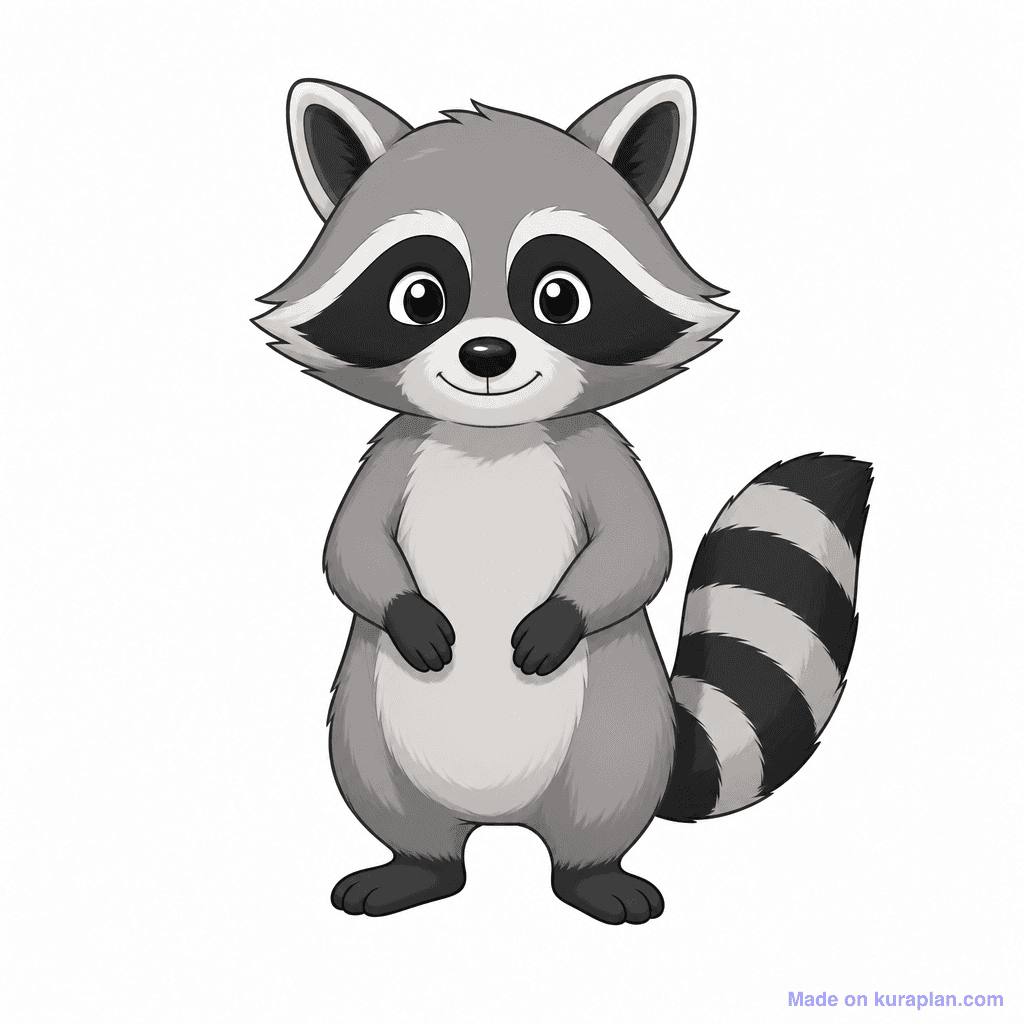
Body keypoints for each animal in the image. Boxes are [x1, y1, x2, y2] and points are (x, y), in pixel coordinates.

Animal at [254, 76, 872, 925]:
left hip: (620, 729)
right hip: (367, 731)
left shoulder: (596, 450)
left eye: (559, 295)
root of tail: (501, 819)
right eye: (420, 297)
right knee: (393, 801)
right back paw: (418, 866)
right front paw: (405, 609)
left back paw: (592, 874)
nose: (487, 355)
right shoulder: (394, 450)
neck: (492, 437)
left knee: (600, 806)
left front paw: (562, 617)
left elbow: (640, 548)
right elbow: (349, 549)